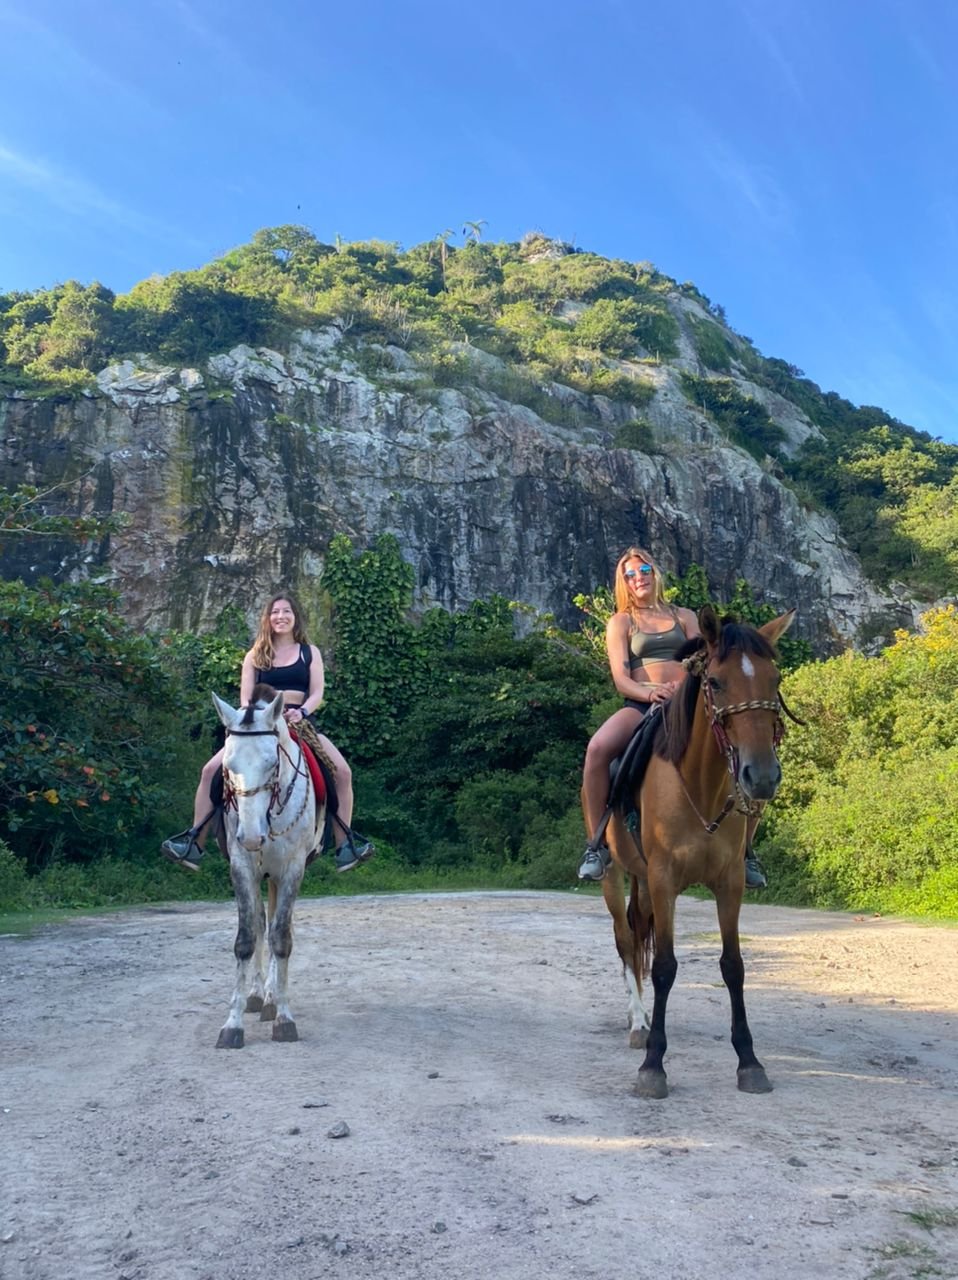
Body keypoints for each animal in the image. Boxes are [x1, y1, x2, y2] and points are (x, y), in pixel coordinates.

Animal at [210, 691, 321, 1049]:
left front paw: (284, 1018)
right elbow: (247, 938)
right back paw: (259, 996)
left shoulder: (292, 870)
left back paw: (272, 1000)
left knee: (274, 927)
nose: (251, 836)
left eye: (272, 763)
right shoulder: (242, 867)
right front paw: (232, 1024)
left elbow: (282, 938)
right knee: (262, 924)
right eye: (228, 766)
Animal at [607, 609, 794, 1100]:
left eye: (774, 678)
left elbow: (733, 966)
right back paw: (639, 1024)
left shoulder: (729, 883)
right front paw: (654, 1065)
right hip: (614, 876)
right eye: (715, 682)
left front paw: (749, 1061)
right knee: (626, 940)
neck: (700, 788)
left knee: (638, 933)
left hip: (643, 882)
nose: (761, 776)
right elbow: (665, 967)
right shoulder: (665, 880)